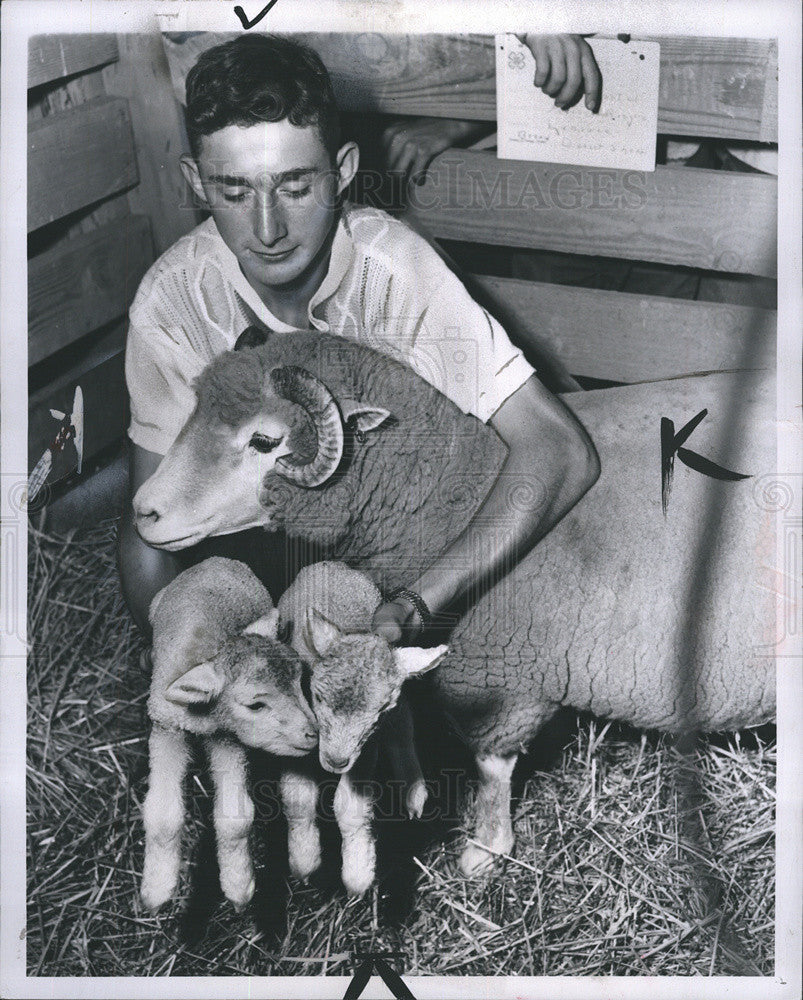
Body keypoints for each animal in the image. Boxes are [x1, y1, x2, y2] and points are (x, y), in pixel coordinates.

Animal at [135, 330, 776, 876]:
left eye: (265, 441)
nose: (144, 511)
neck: (461, 489)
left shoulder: (503, 675)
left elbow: (491, 768)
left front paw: (485, 849)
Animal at [141, 560, 318, 912]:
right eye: (256, 705)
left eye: (299, 682)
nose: (312, 733)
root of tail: (215, 560)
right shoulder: (167, 729)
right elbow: (163, 816)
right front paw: (155, 891)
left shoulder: (227, 739)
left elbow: (235, 818)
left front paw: (239, 886)